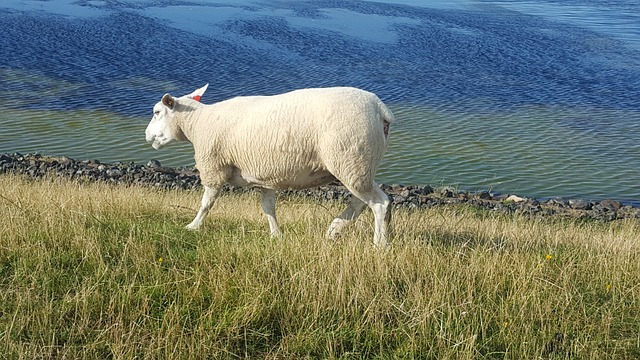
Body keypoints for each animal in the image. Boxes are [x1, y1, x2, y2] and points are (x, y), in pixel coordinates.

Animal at [146, 84, 396, 248]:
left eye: (157, 112)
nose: (147, 135)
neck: (197, 123)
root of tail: (379, 108)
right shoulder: (265, 175)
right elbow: (268, 207)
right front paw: (276, 235)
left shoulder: (214, 167)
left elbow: (207, 203)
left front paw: (193, 226)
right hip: (359, 164)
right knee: (363, 201)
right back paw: (335, 229)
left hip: (350, 159)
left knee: (379, 203)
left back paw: (379, 244)